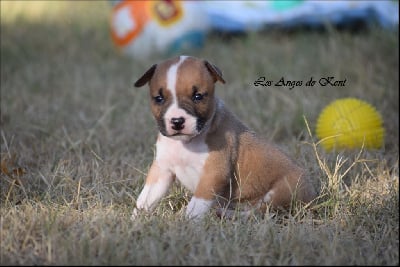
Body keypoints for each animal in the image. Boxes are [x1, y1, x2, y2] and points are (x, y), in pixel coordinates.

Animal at [131, 55, 316, 221]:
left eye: (198, 96)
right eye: (159, 98)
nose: (177, 121)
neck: (186, 143)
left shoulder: (213, 174)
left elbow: (196, 205)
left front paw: (185, 223)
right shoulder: (162, 171)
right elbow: (145, 198)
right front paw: (134, 221)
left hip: (282, 191)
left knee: (260, 213)